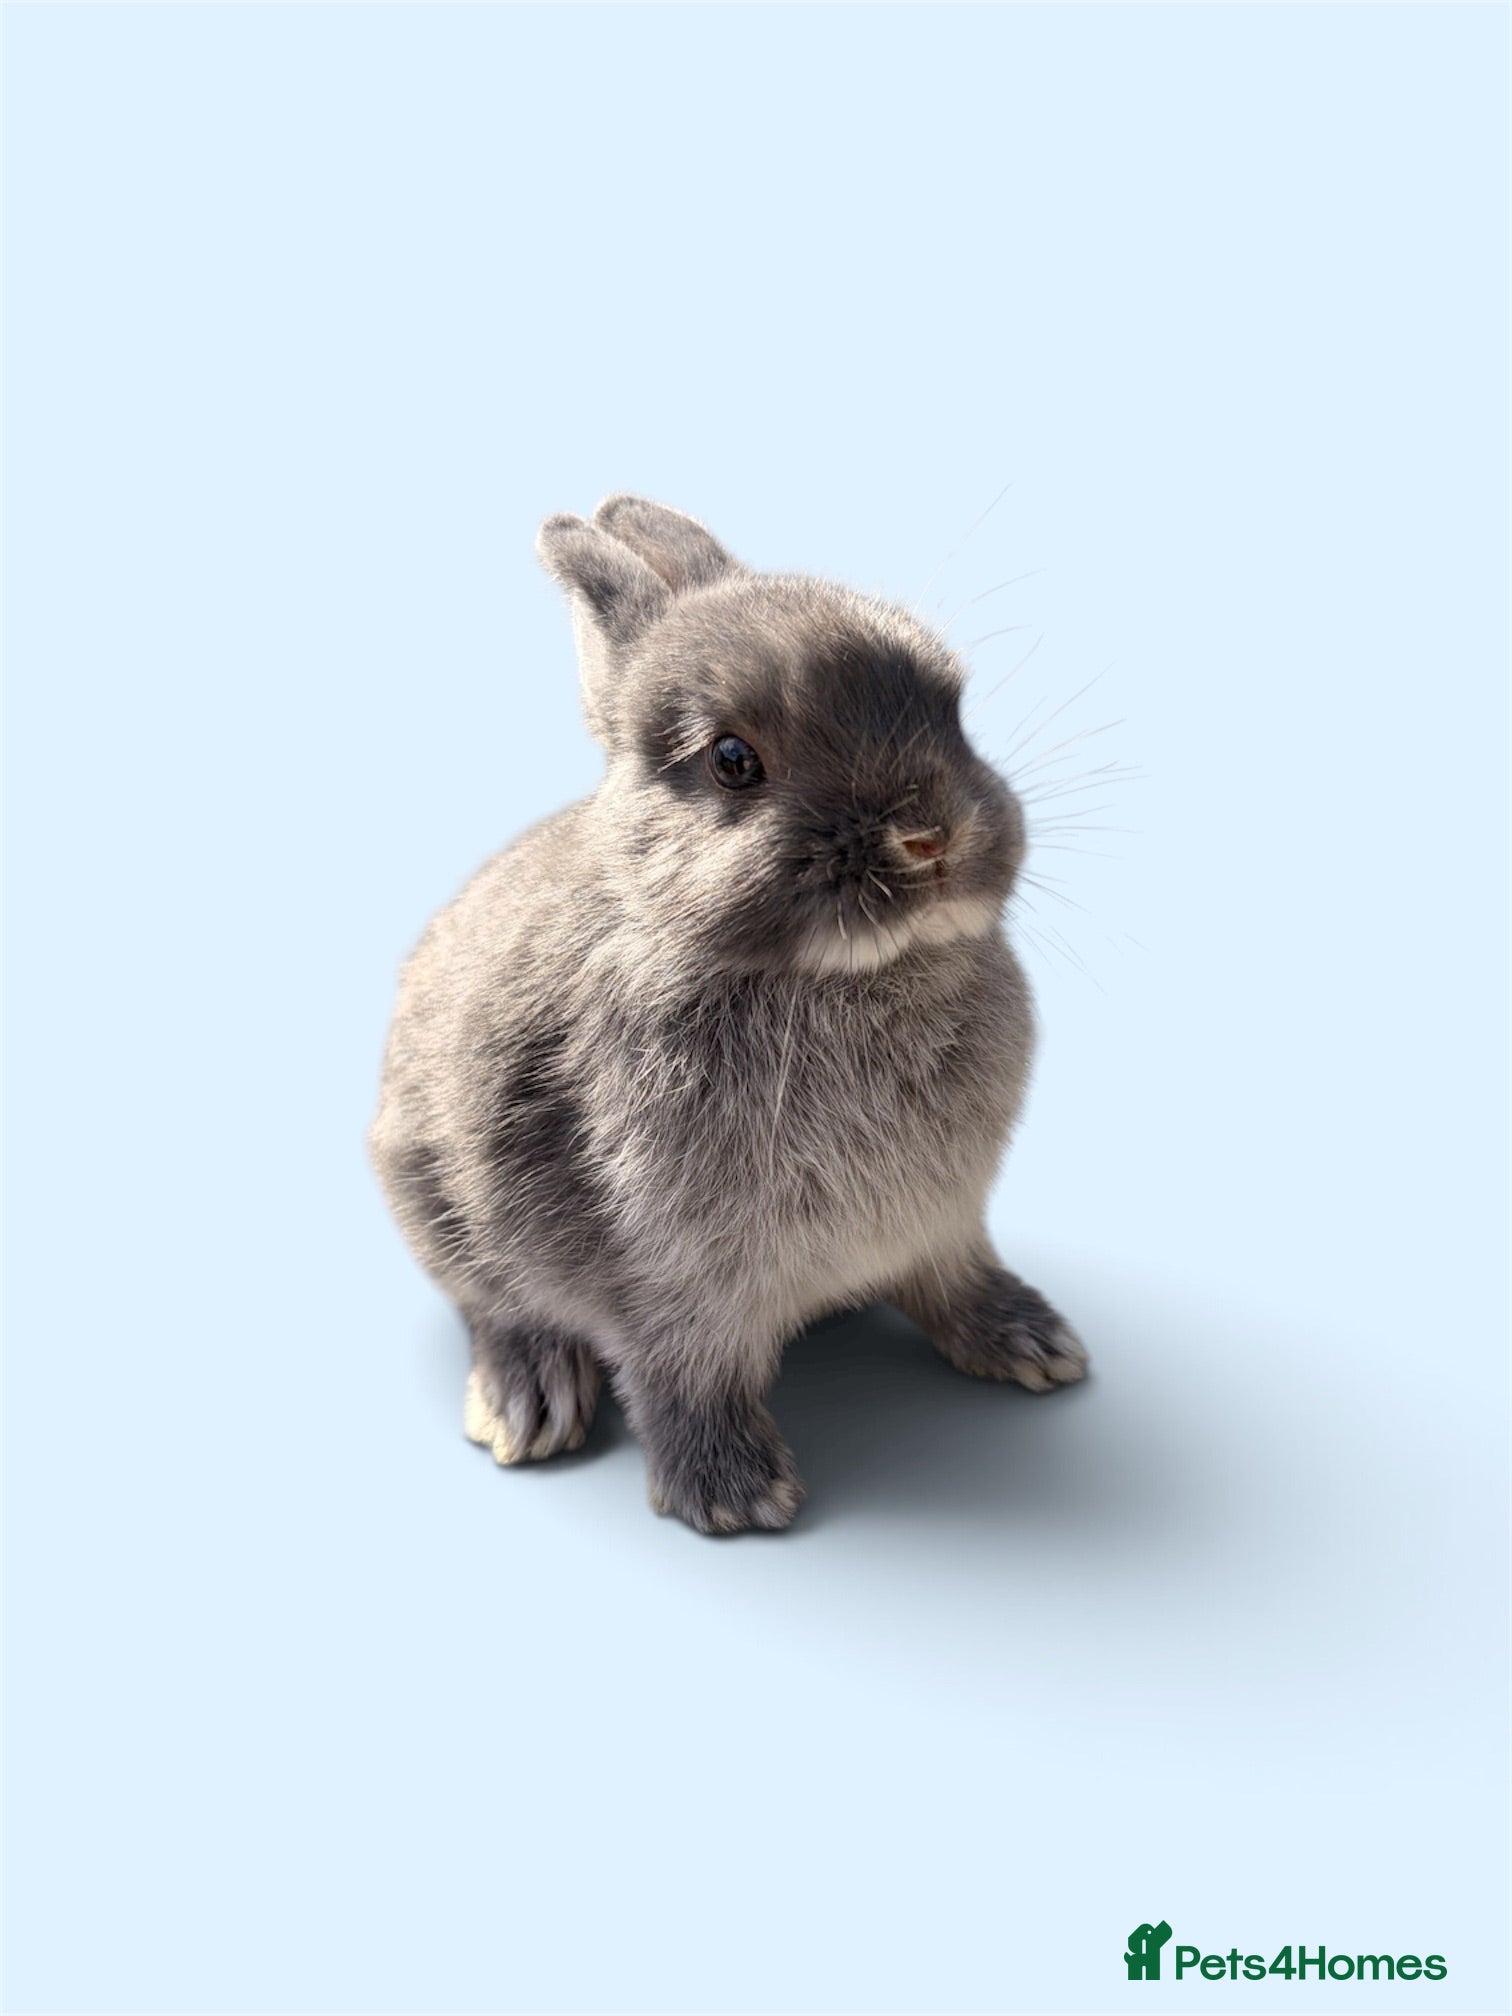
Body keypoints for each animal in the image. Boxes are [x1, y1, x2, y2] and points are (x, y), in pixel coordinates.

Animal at [369, 494, 1087, 1534]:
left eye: (952, 705)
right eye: (733, 761)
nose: (931, 837)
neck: (838, 977)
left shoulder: (945, 1221)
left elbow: (954, 1275)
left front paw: (1031, 1341)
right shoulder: (667, 1272)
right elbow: (682, 1371)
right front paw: (736, 1494)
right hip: (436, 1199)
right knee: (495, 1304)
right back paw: (529, 1400)